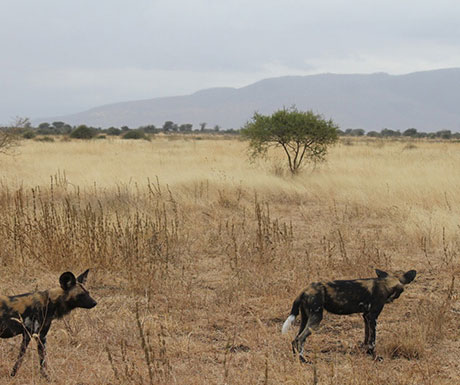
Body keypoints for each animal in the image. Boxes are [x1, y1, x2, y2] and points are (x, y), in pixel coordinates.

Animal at [280, 268, 416, 362]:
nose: (393, 298)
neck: (386, 283)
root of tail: (305, 290)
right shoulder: (372, 317)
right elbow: (372, 340)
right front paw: (375, 356)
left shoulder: (366, 316)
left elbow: (366, 337)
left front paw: (366, 352)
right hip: (316, 318)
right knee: (299, 339)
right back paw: (303, 360)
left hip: (305, 318)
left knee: (295, 339)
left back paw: (297, 358)